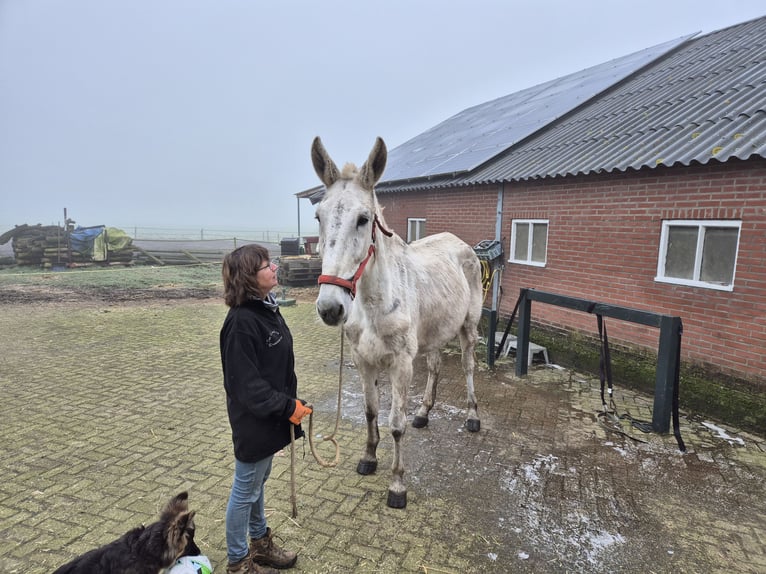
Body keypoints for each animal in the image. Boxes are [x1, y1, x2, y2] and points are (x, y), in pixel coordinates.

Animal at [310, 136, 480, 508]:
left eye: (364, 218)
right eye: (318, 216)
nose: (330, 308)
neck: (375, 304)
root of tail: (462, 245)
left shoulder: (401, 364)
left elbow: (396, 423)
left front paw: (398, 485)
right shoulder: (363, 360)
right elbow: (371, 412)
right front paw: (368, 458)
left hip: (468, 329)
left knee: (468, 368)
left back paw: (474, 417)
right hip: (434, 333)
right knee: (435, 367)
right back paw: (425, 413)